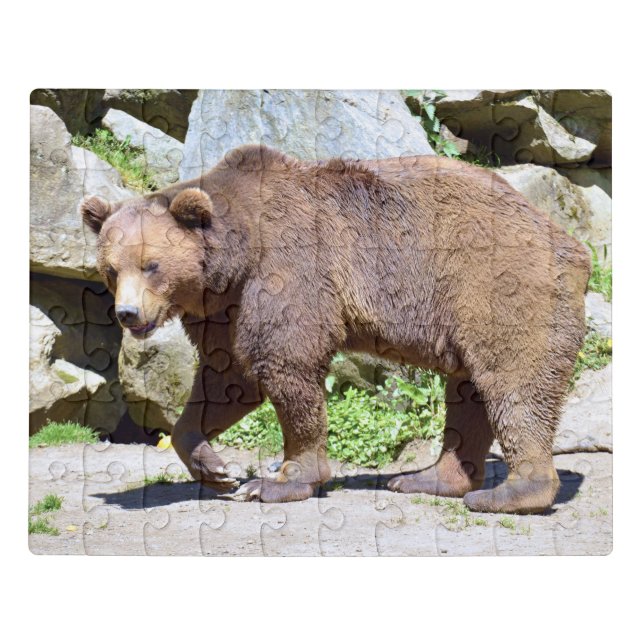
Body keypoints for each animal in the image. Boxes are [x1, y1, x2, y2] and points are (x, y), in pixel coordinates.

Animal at [80, 144, 591, 514]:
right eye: (110, 269)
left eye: (151, 265)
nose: (128, 314)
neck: (233, 260)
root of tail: (569, 242)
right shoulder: (223, 310)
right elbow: (228, 379)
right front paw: (214, 468)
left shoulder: (288, 272)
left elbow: (285, 366)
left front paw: (277, 480)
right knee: (468, 391)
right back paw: (426, 478)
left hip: (498, 288)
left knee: (513, 382)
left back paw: (509, 494)